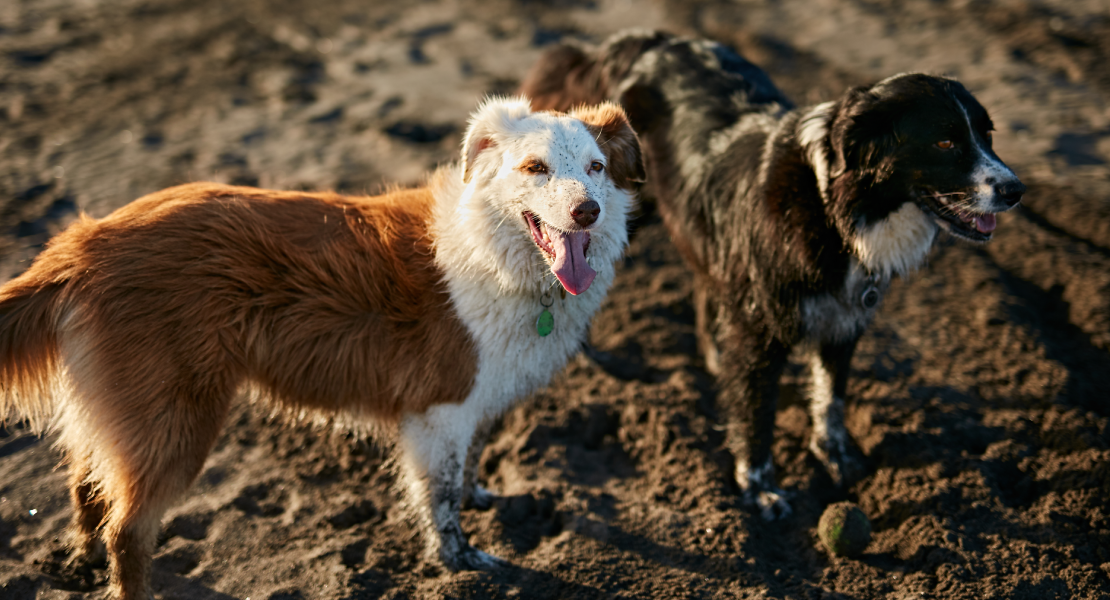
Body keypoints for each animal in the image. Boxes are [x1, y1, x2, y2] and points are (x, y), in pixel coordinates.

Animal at [0, 97, 643, 594]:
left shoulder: (476, 402)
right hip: (176, 420)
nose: (588, 211)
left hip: (127, 411)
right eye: (534, 168)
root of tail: (83, 244)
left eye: (597, 166)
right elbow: (440, 498)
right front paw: (460, 563)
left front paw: (479, 497)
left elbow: (465, 471)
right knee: (127, 531)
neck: (493, 251)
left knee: (87, 487)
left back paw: (81, 563)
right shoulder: (440, 410)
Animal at [519, 30, 1021, 516]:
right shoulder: (763, 327)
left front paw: (837, 457)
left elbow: (831, 397)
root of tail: (619, 45)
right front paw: (759, 489)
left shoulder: (844, 319)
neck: (832, 208)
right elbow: (759, 411)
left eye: (988, 135)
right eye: (945, 141)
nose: (1017, 190)